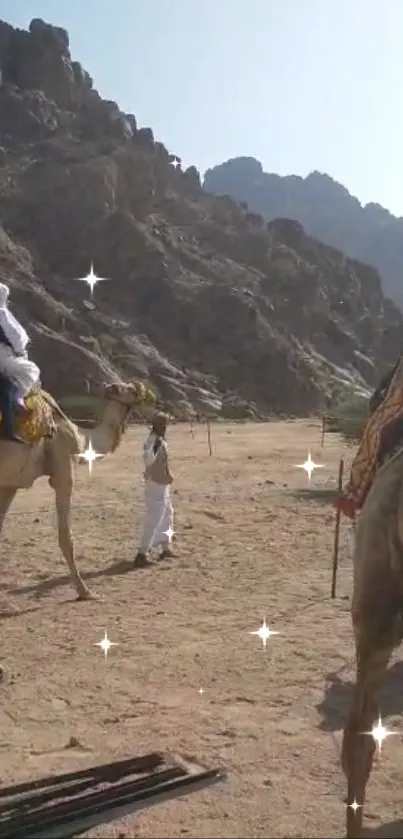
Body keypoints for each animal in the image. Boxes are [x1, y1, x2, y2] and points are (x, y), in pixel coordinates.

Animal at [0, 380, 156, 604]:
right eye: (132, 390)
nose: (151, 395)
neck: (80, 436)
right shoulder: (63, 471)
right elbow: (66, 537)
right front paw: (84, 591)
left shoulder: (10, 483)